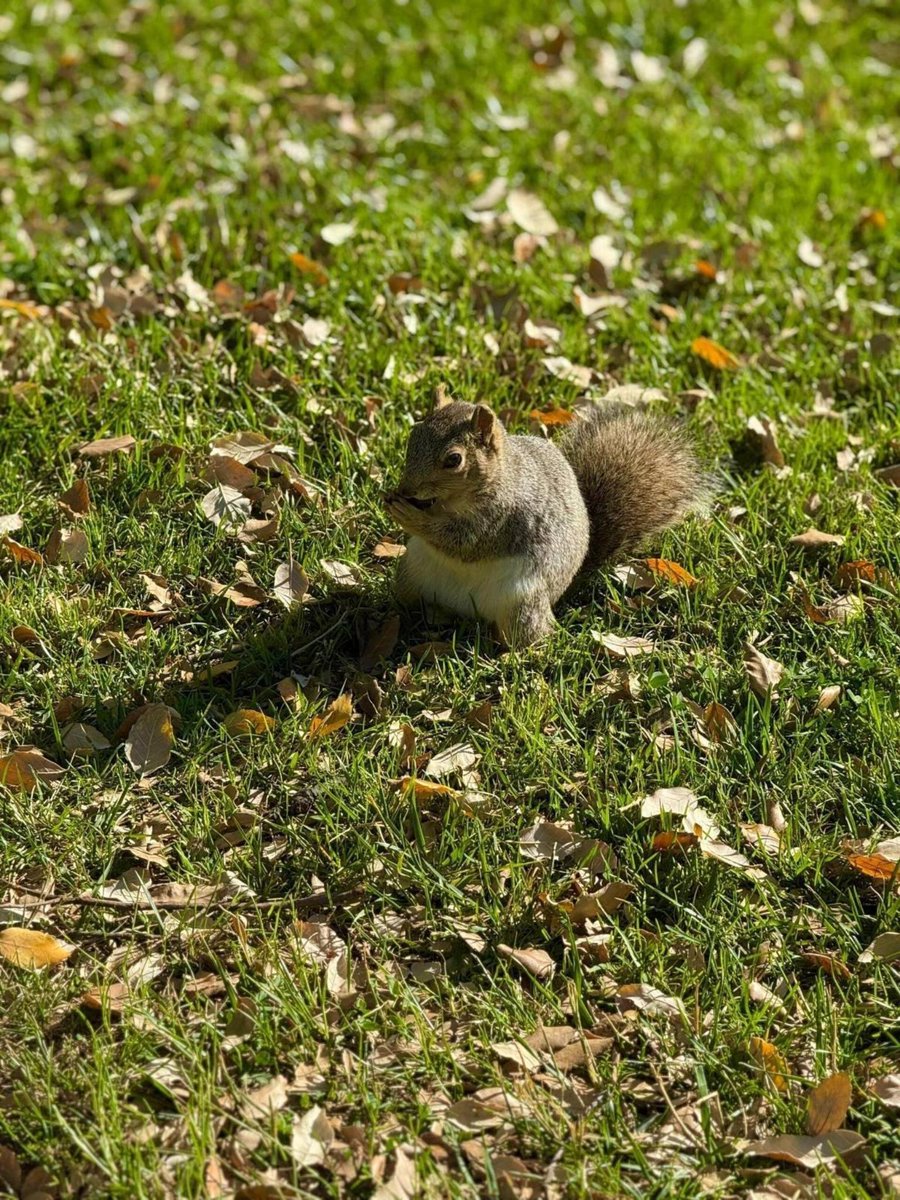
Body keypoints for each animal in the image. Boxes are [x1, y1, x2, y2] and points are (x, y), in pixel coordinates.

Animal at [383, 391, 707, 646]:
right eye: (413, 436)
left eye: (454, 460)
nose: (406, 489)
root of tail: (467, 612)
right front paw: (391, 497)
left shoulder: (503, 520)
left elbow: (463, 542)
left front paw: (409, 515)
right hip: (409, 575)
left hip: (521, 605)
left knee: (531, 637)